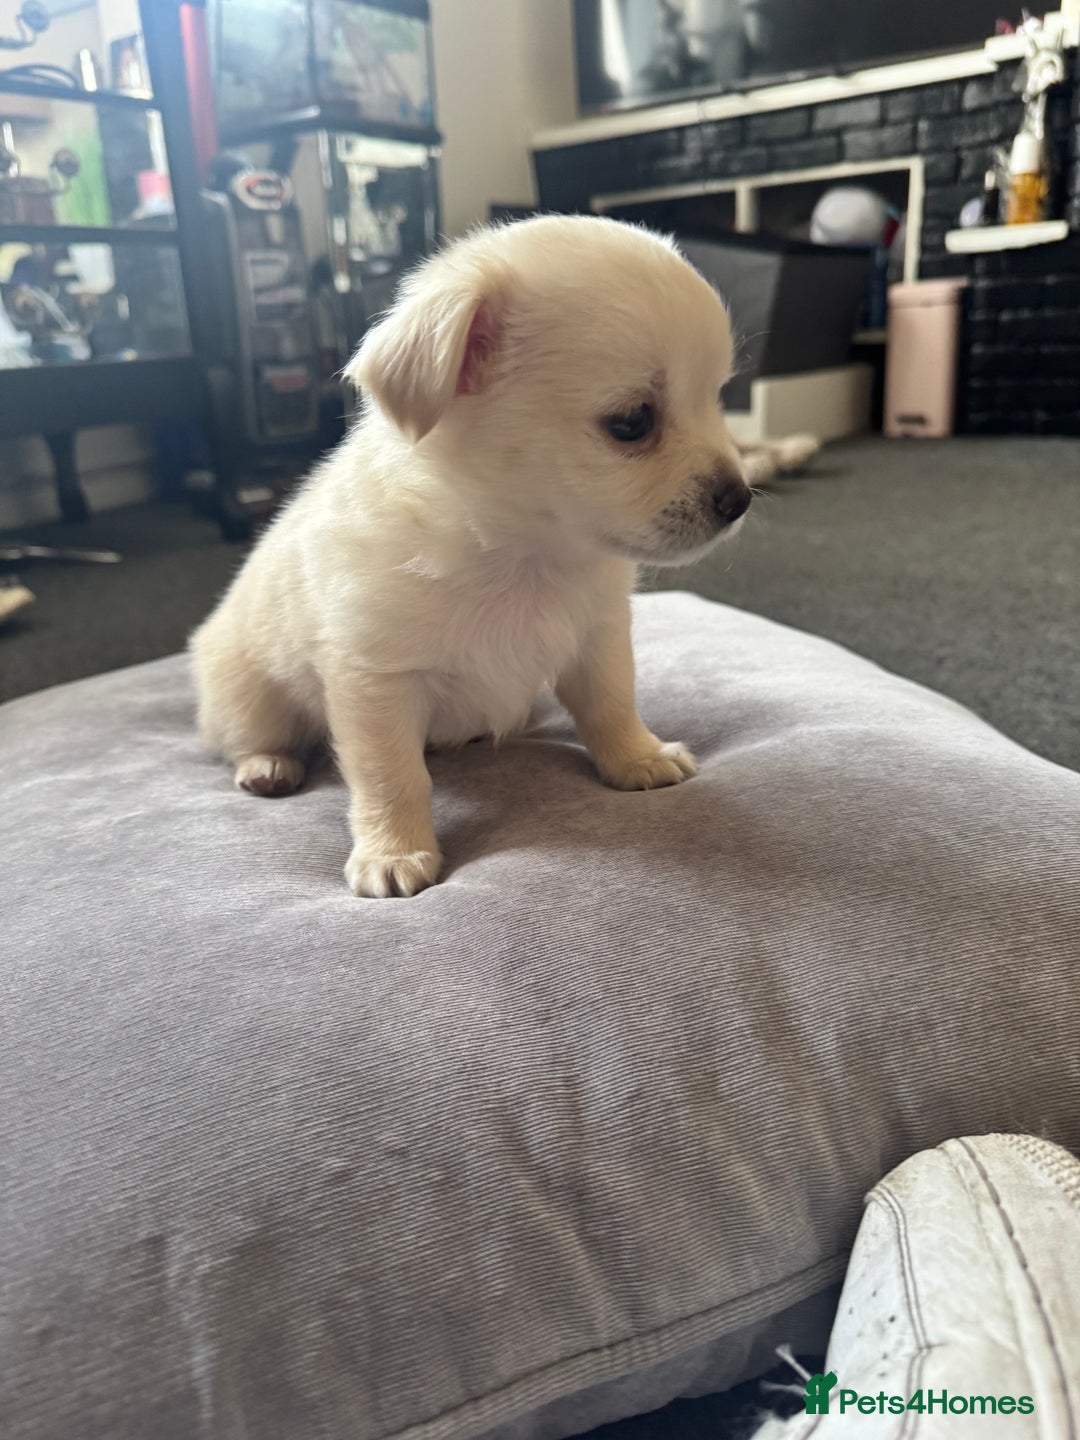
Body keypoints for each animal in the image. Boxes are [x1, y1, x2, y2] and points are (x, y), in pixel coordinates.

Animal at [191, 215, 766, 898]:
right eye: (632, 421)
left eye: (718, 398)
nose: (739, 499)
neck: (522, 557)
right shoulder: (375, 679)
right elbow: (391, 775)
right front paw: (394, 851)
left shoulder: (597, 637)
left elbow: (611, 705)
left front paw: (637, 757)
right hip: (247, 690)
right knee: (246, 735)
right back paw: (267, 764)